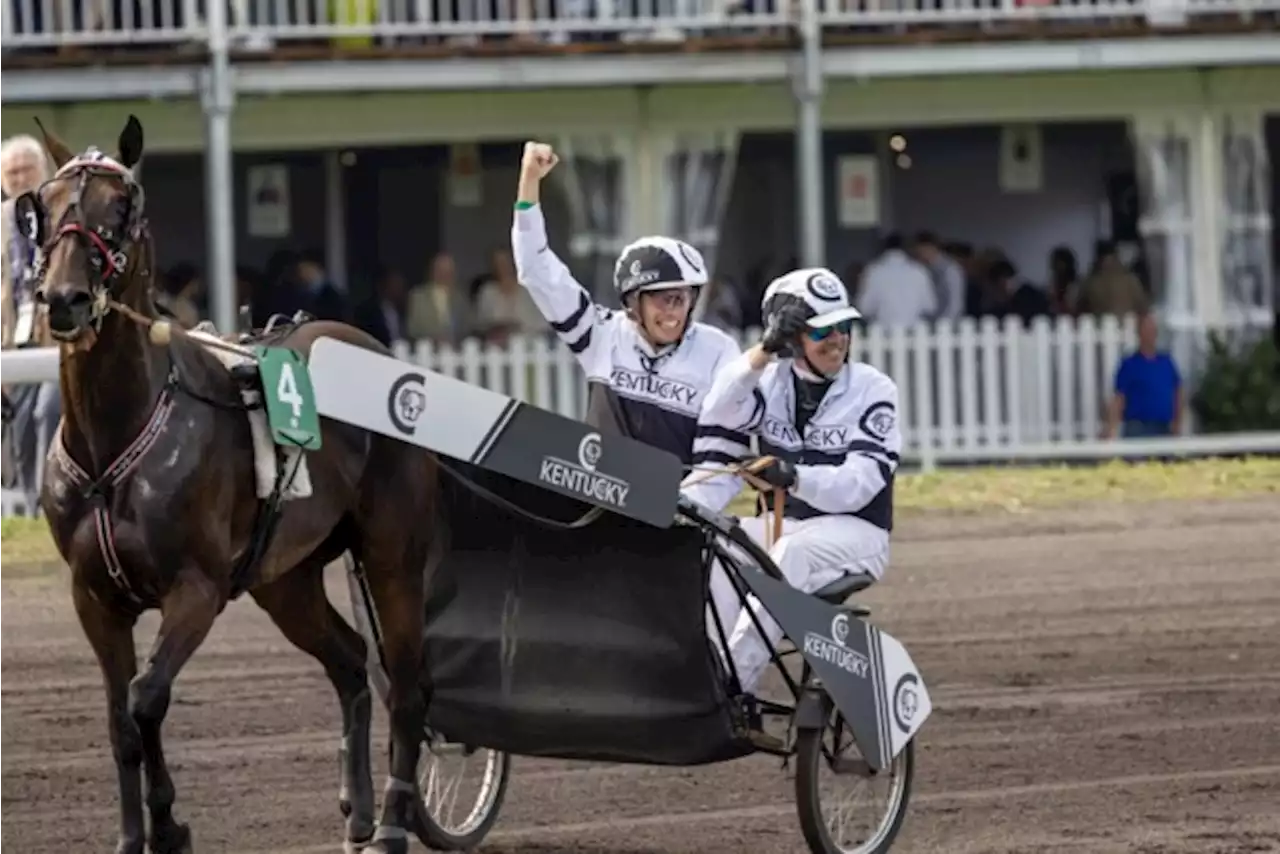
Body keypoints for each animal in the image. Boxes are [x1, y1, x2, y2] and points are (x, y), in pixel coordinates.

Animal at [15, 117, 440, 854]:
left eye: (121, 208)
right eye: (45, 203)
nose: (63, 300)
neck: (116, 438)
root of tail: (379, 354)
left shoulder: (197, 587)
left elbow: (146, 696)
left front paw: (169, 823)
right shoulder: (93, 597)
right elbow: (120, 719)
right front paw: (139, 834)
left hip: (393, 559)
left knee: (407, 686)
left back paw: (391, 821)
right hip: (285, 581)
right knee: (351, 661)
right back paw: (357, 810)